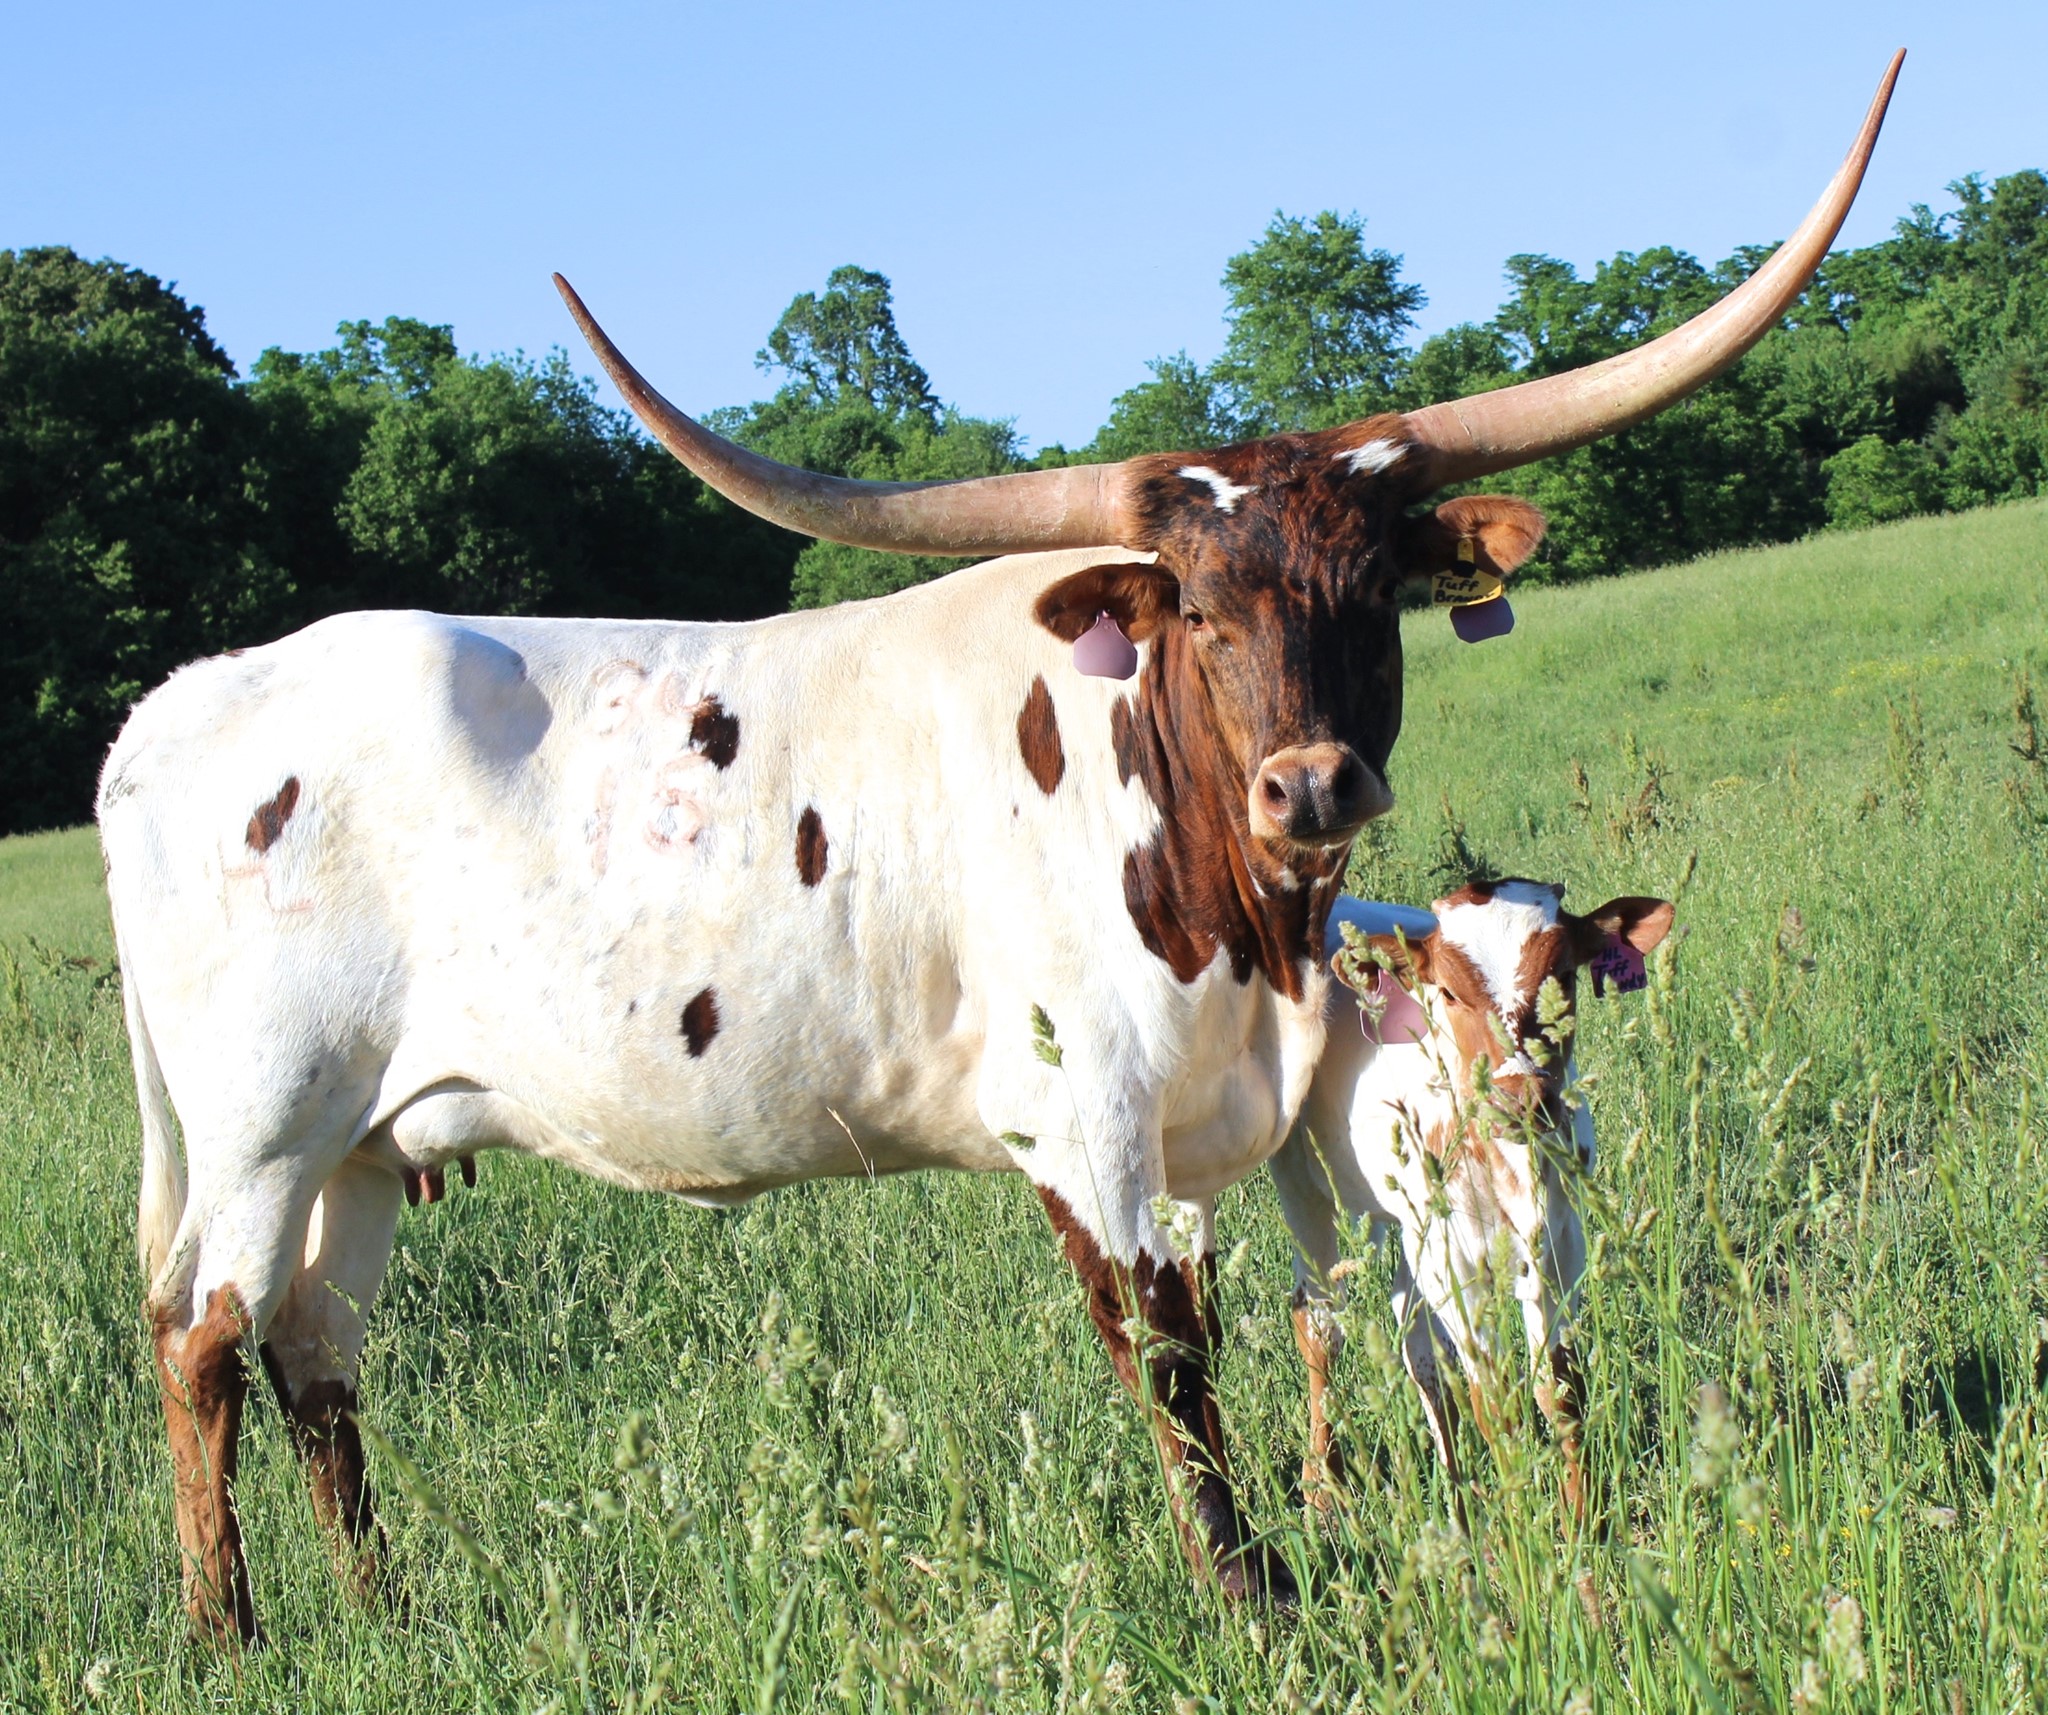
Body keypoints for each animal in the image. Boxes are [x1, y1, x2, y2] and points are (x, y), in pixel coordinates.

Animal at [1272, 883, 1673, 1525]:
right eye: (1450, 992)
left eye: (1564, 974)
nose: (1521, 1099)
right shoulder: (1456, 1263)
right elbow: (1495, 1404)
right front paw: (1517, 1526)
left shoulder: (1562, 1246)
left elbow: (1560, 1391)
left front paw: (1583, 1522)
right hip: (1307, 1191)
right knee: (1321, 1325)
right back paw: (1322, 1492)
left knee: (1414, 1337)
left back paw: (1458, 1501)